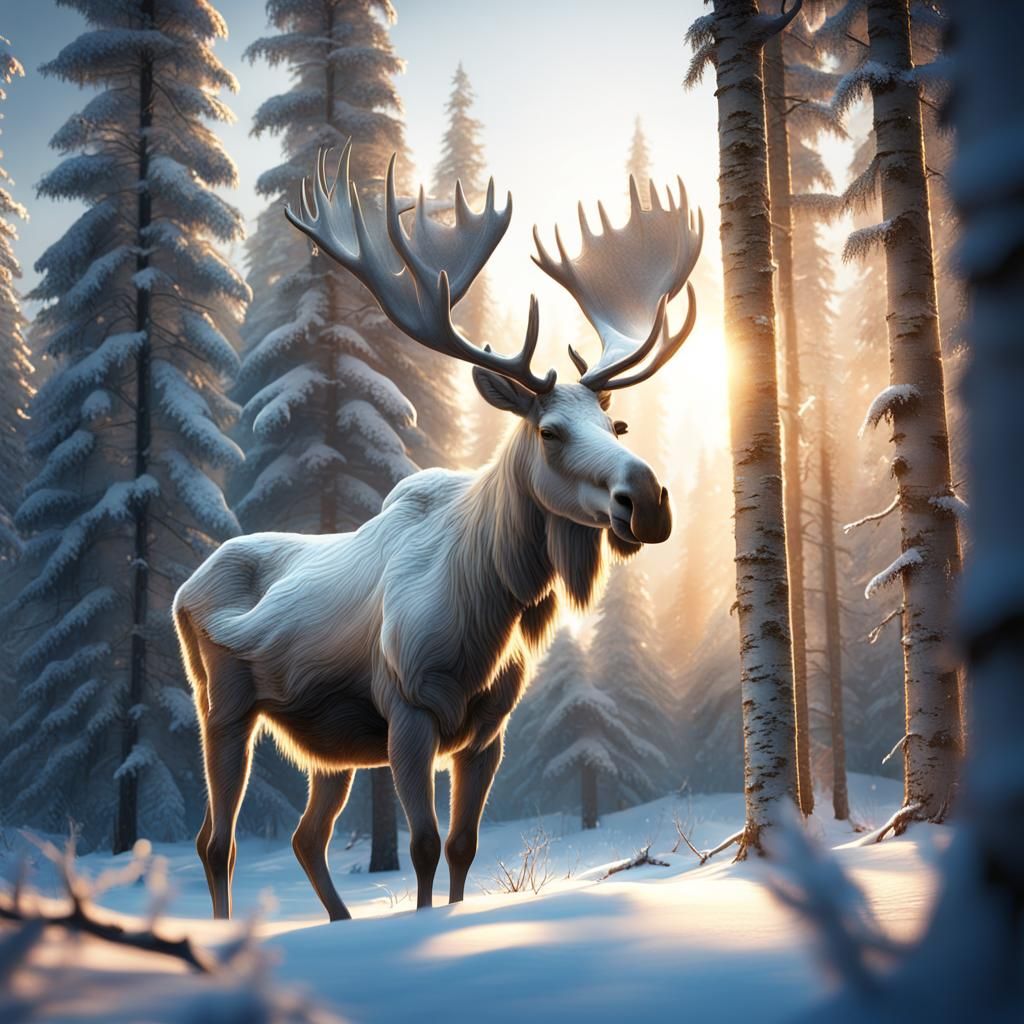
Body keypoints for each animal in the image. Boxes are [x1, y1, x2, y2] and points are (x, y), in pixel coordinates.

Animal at [173, 141, 703, 920]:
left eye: (619, 426)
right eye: (549, 431)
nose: (648, 500)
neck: (487, 606)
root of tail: (183, 591)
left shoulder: (486, 735)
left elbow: (462, 848)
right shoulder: (410, 714)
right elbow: (421, 848)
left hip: (329, 749)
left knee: (305, 838)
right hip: (223, 704)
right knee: (218, 840)